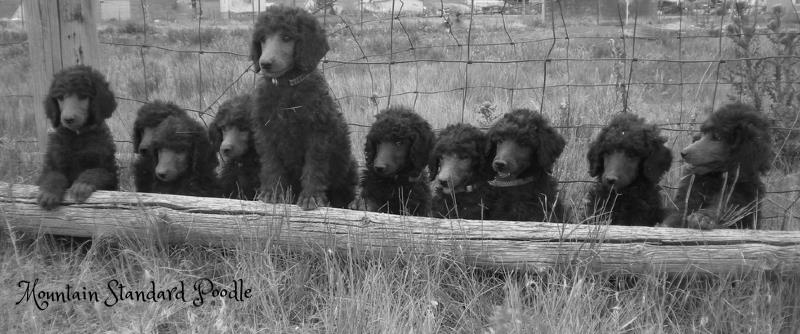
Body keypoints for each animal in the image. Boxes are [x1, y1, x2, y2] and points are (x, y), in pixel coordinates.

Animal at [36, 65, 119, 209]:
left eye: (83, 96)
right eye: (60, 97)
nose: (68, 119)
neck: (77, 136)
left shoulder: (109, 171)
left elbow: (96, 172)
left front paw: (81, 185)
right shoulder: (53, 163)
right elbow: (53, 175)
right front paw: (48, 192)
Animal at [252, 4, 358, 209]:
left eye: (286, 37)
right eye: (262, 39)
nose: (265, 63)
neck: (286, 87)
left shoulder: (318, 133)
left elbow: (314, 166)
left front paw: (311, 197)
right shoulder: (266, 132)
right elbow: (271, 162)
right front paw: (272, 193)